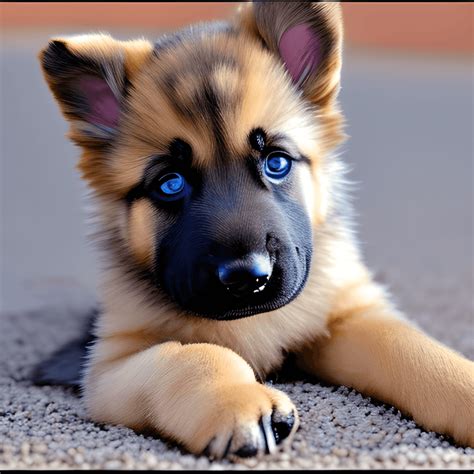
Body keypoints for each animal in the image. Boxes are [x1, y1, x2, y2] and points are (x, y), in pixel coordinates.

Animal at [34, 0, 474, 460]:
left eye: (276, 162)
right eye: (171, 183)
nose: (248, 277)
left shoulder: (348, 316)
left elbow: (413, 349)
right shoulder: (110, 365)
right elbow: (191, 354)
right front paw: (237, 400)